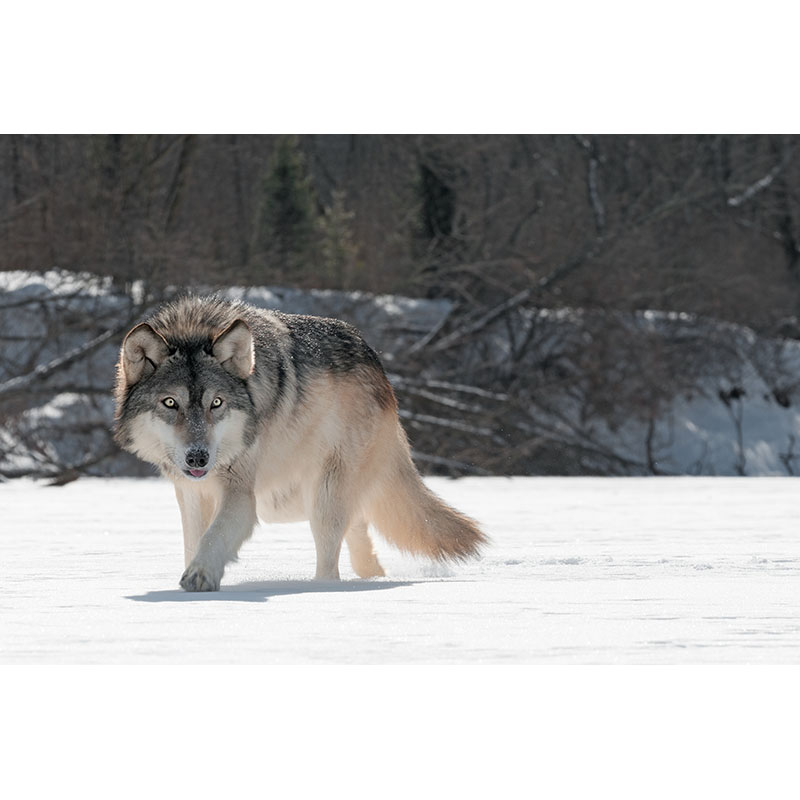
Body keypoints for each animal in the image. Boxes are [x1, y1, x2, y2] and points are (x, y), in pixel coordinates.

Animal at [112, 296, 488, 592]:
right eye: (170, 403)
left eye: (216, 403)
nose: (198, 458)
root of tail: (381, 372)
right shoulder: (191, 493)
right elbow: (195, 540)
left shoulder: (241, 494)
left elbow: (214, 537)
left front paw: (200, 576)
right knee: (360, 538)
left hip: (321, 497)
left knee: (331, 563)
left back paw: (323, 589)